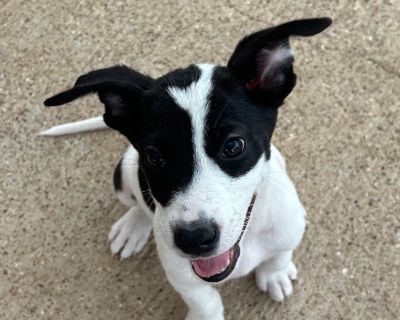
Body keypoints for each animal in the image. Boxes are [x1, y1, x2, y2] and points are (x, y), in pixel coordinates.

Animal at [42, 17, 332, 320]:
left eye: (234, 146)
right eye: (154, 157)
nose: (194, 239)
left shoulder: (287, 228)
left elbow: (280, 253)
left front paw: (274, 273)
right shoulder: (181, 274)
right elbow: (205, 301)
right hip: (122, 176)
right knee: (137, 205)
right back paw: (133, 226)